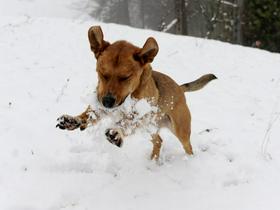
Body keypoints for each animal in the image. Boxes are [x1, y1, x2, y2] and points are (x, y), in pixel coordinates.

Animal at [55, 26, 215, 160]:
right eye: (103, 74)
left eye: (125, 77)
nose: (107, 102)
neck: (127, 98)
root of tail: (180, 88)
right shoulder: (100, 104)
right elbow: (89, 114)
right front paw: (73, 120)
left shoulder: (140, 116)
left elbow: (127, 122)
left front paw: (116, 132)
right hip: (151, 126)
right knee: (158, 141)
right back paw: (153, 160)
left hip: (180, 129)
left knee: (187, 146)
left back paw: (190, 160)